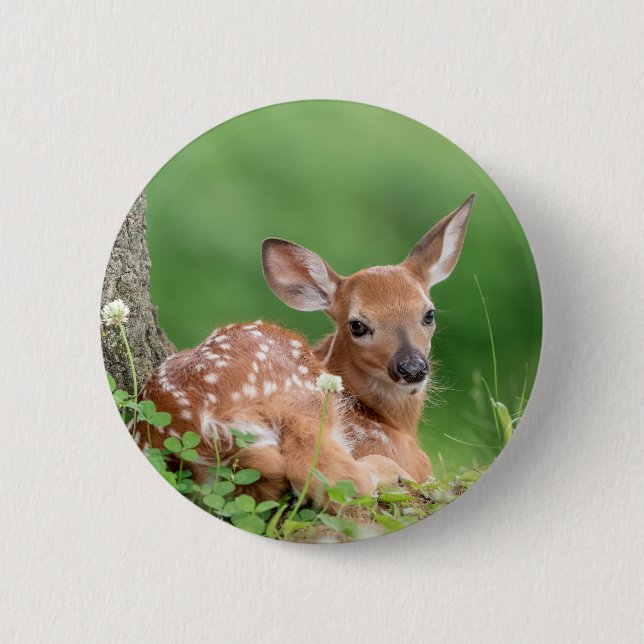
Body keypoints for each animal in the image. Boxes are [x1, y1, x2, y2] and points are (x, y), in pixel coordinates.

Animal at [133, 194, 474, 505]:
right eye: (357, 325)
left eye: (429, 314)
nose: (411, 368)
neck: (389, 420)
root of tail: (206, 429)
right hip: (302, 400)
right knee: (326, 474)